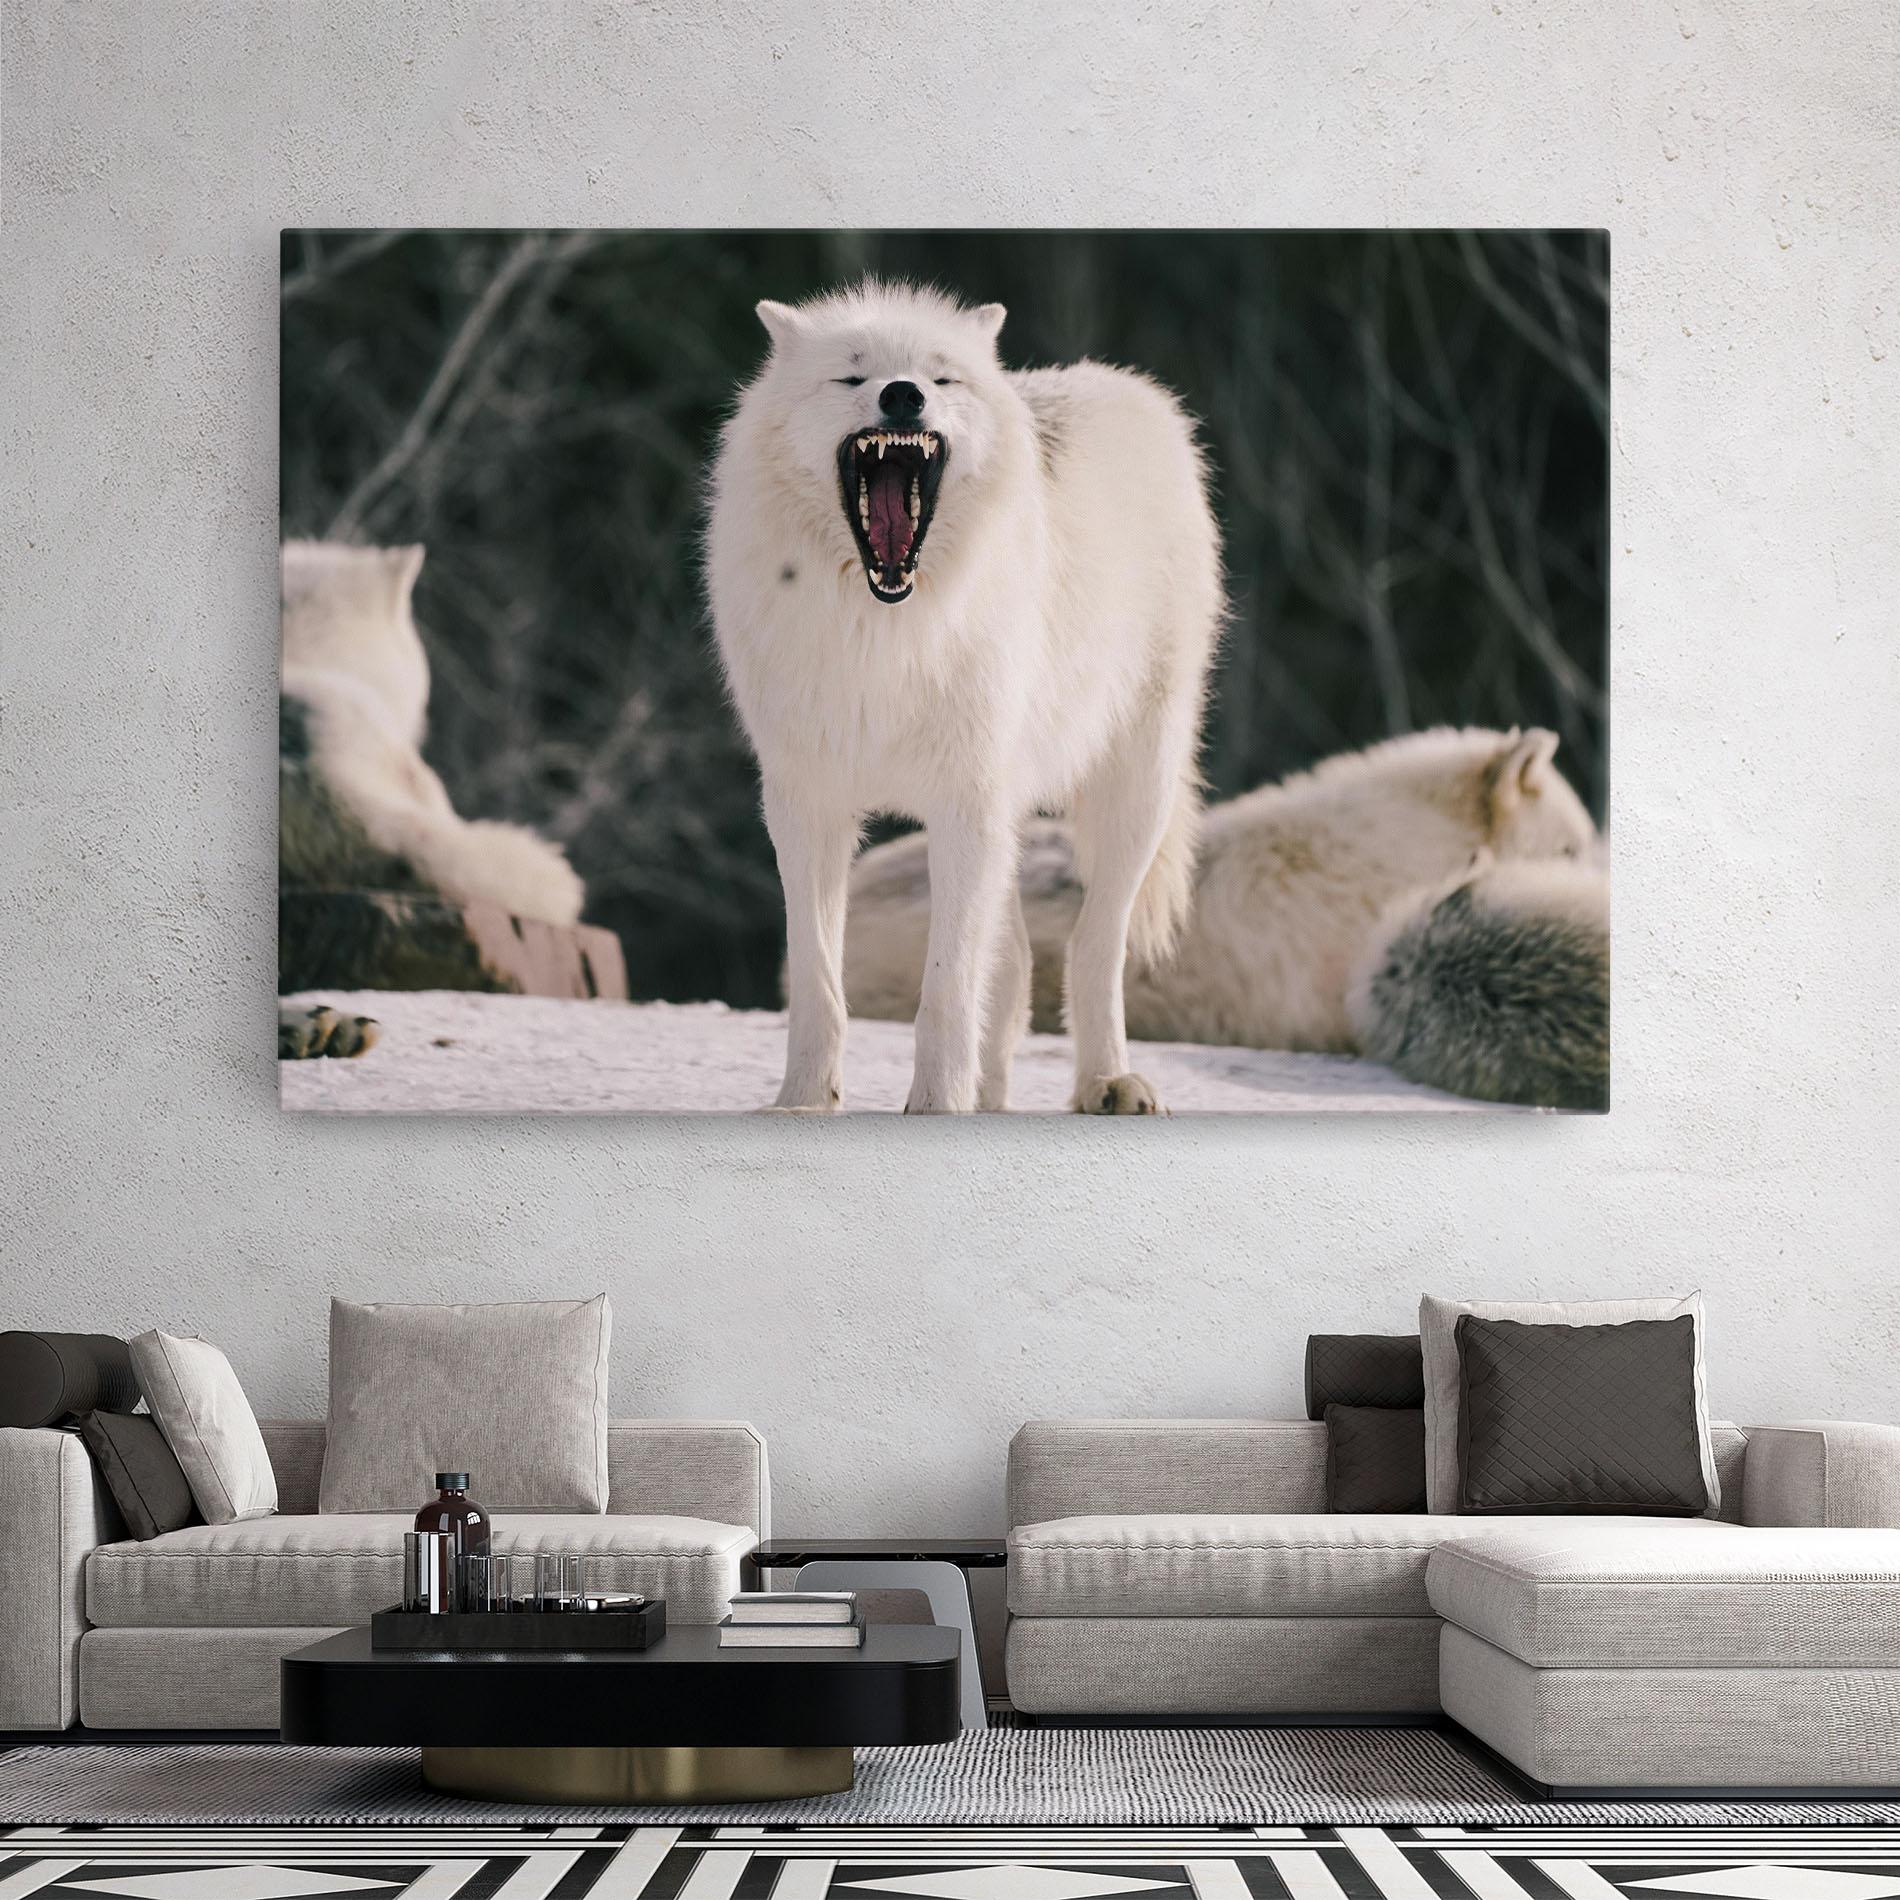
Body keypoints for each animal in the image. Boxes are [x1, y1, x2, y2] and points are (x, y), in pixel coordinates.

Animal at [707, 281, 1221, 1114]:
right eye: (853, 376)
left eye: (941, 378)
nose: (903, 395)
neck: (884, 631)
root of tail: (1128, 387)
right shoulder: (805, 805)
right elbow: (818, 979)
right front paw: (804, 1102)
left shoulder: (962, 804)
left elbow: (946, 989)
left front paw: (934, 1105)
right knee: (1013, 967)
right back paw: (995, 1098)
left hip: (1133, 791)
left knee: (1093, 943)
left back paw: (1108, 1081)